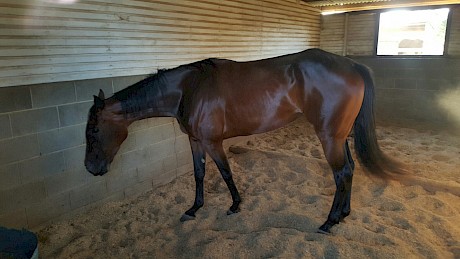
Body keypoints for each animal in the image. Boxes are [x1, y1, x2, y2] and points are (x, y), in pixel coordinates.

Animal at [84, 48, 400, 234]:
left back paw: (329, 222)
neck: (189, 89)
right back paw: (344, 214)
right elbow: (199, 174)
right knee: (350, 169)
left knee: (341, 173)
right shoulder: (195, 141)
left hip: (329, 137)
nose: (91, 168)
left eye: (94, 130)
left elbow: (225, 172)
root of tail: (352, 65)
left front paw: (235, 205)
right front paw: (194, 209)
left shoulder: (213, 142)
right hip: (339, 136)